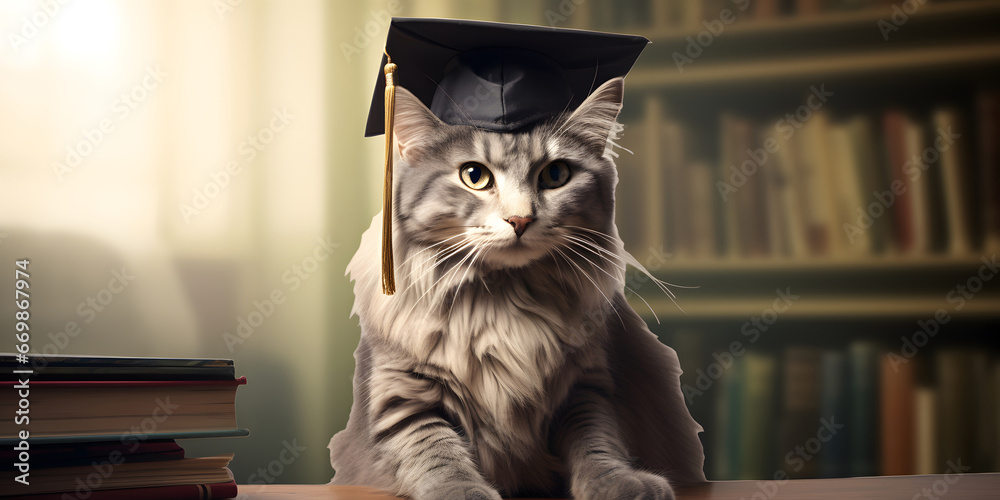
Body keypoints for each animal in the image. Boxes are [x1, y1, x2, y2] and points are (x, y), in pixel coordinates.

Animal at [328, 75, 704, 500]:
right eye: (474, 176)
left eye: (555, 175)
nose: (520, 220)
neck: (506, 301)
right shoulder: (404, 396)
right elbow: (437, 453)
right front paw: (463, 491)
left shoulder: (585, 388)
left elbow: (596, 443)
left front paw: (620, 483)